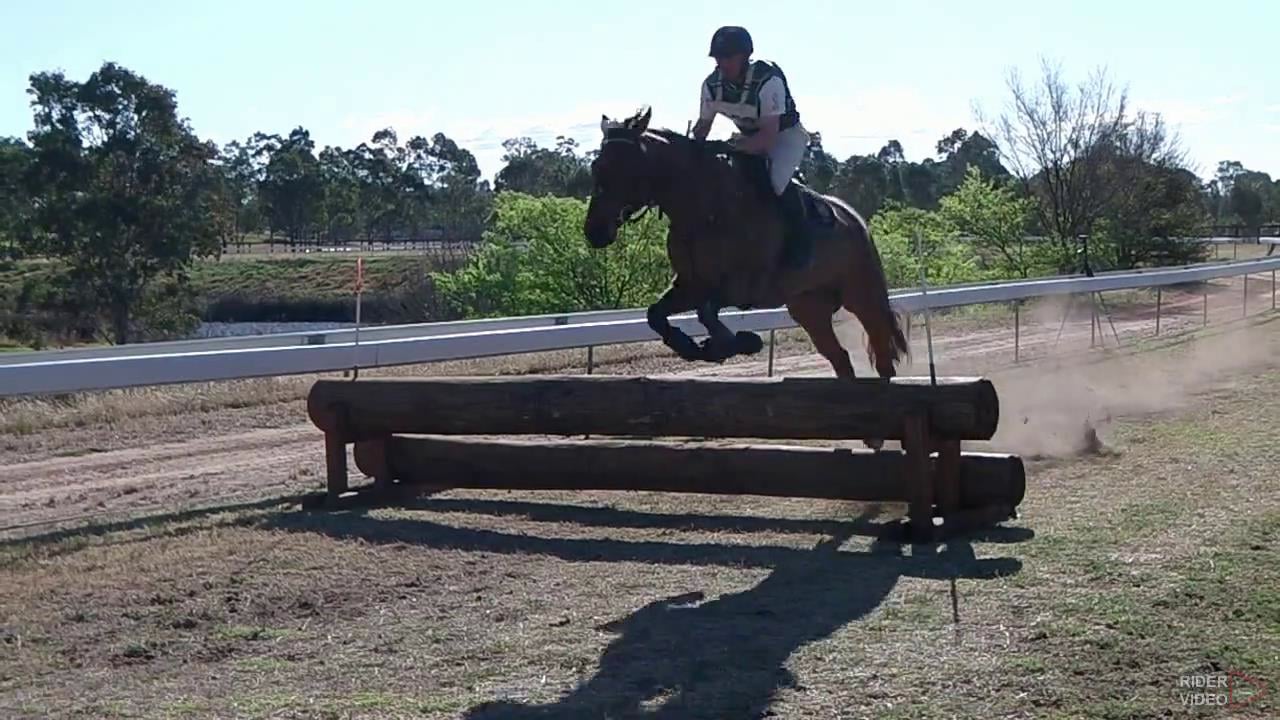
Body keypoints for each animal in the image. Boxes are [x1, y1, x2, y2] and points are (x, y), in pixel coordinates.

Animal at [586, 102, 906, 386]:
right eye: (596, 165)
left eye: (626, 166)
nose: (594, 231)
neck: (702, 208)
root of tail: (855, 219)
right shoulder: (690, 285)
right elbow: (656, 314)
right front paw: (691, 346)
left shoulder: (740, 287)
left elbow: (706, 312)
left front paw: (736, 342)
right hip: (808, 307)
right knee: (840, 358)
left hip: (862, 296)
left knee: (882, 355)